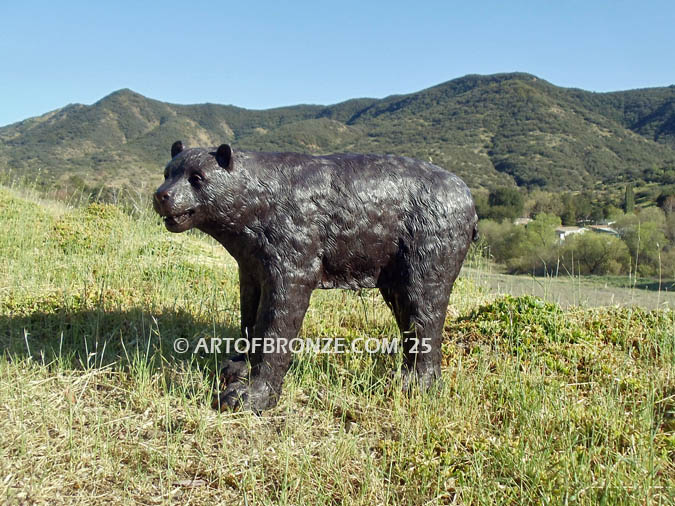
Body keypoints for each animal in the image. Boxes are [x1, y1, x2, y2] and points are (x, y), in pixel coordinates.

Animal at [154, 141, 478, 412]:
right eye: (168, 173)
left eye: (197, 177)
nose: (161, 195)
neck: (258, 200)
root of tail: (469, 199)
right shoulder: (251, 271)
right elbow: (249, 320)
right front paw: (238, 366)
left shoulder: (291, 269)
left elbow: (274, 331)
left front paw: (252, 396)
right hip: (395, 281)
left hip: (425, 269)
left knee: (426, 324)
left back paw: (417, 386)